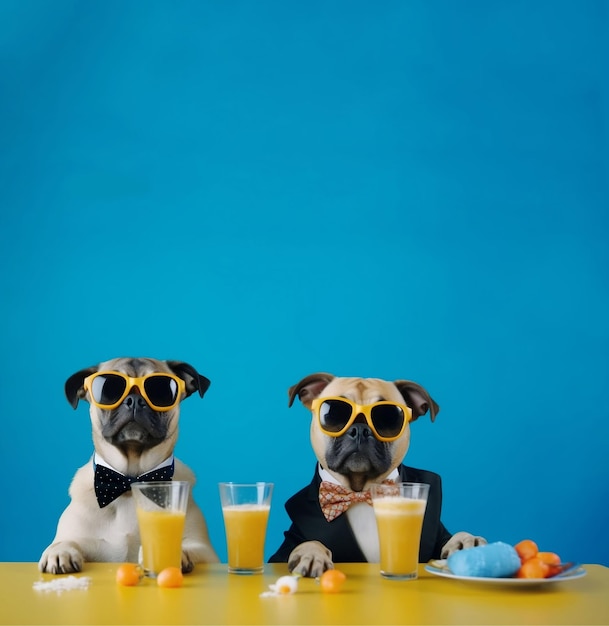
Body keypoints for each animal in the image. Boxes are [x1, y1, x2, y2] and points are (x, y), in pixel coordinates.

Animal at [38, 356, 218, 572]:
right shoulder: (79, 537)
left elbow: (186, 546)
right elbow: (64, 542)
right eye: (108, 390)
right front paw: (59, 552)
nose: (134, 400)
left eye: (161, 391)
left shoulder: (204, 550)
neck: (129, 483)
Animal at [268, 370, 484, 576]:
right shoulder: (288, 544)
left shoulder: (438, 534)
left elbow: (454, 537)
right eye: (333, 415)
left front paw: (466, 541)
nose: (360, 429)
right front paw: (312, 554)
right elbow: (309, 543)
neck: (360, 491)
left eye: (389, 418)